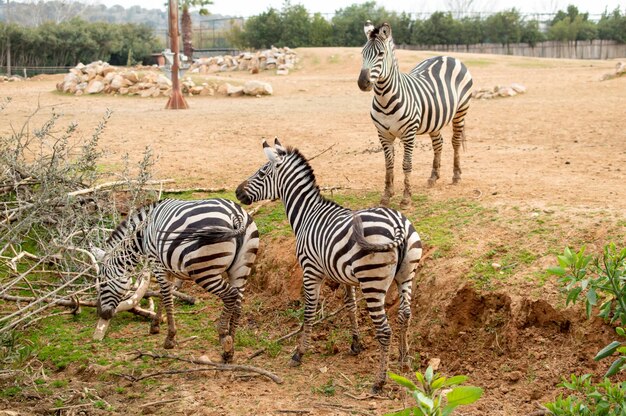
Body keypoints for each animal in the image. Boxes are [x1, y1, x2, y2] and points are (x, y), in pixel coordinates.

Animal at [93, 197, 258, 362]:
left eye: (102, 283)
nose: (101, 313)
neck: (143, 233)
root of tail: (235, 214)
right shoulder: (168, 267)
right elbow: (164, 294)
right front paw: (155, 325)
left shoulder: (157, 263)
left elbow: (166, 297)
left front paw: (170, 338)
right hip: (241, 269)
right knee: (238, 305)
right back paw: (229, 349)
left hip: (203, 270)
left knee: (230, 295)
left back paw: (223, 335)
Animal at [236, 140, 422, 394]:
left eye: (262, 173)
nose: (237, 192)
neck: (306, 214)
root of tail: (398, 224)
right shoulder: (346, 276)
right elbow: (350, 306)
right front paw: (355, 345)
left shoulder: (310, 270)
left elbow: (309, 311)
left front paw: (299, 353)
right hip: (406, 275)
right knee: (405, 315)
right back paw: (404, 360)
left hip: (373, 282)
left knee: (385, 330)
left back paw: (379, 381)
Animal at [356, 21, 472, 206]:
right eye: (362, 54)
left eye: (381, 54)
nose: (363, 83)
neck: (384, 99)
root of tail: (446, 56)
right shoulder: (383, 134)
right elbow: (389, 165)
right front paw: (387, 195)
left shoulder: (409, 133)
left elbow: (406, 164)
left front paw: (406, 197)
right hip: (435, 119)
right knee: (438, 143)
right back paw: (433, 176)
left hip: (461, 111)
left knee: (455, 142)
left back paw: (456, 175)